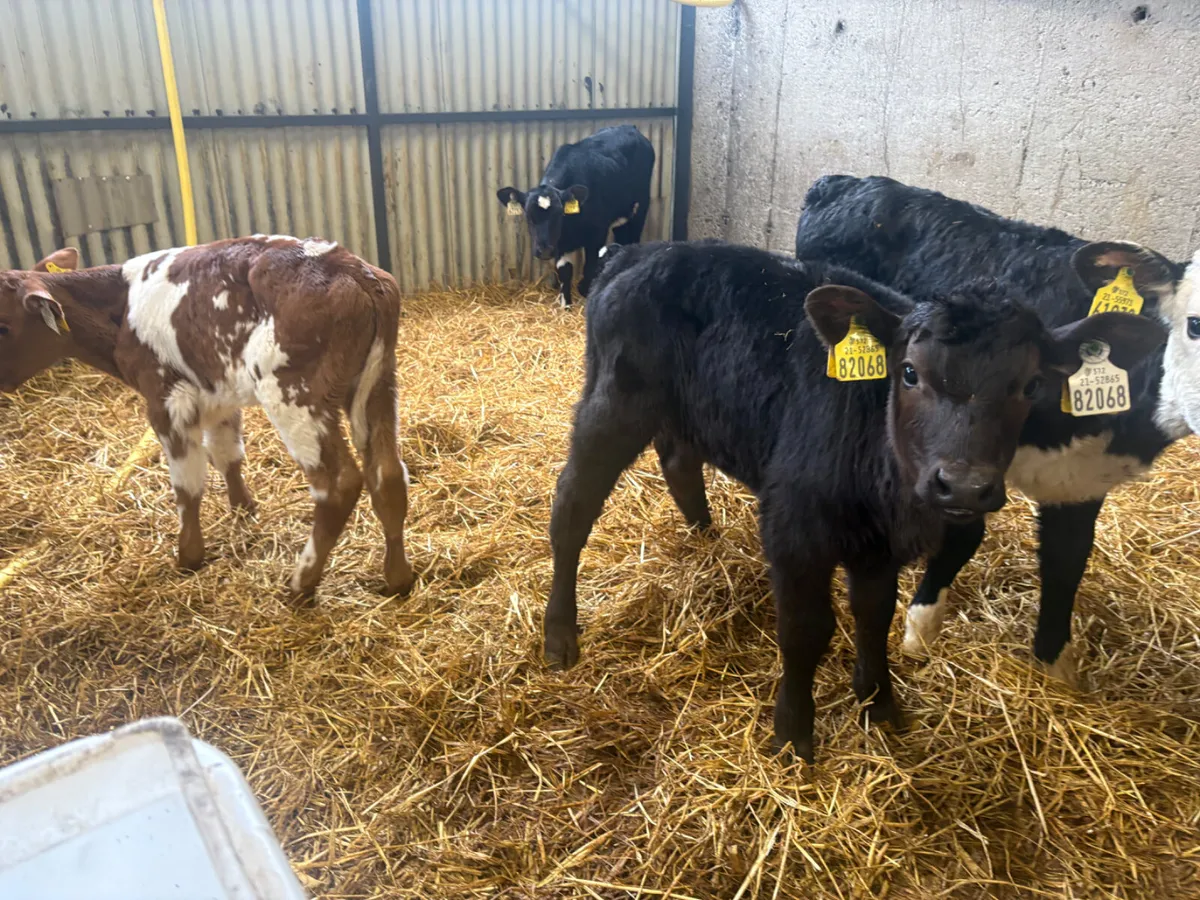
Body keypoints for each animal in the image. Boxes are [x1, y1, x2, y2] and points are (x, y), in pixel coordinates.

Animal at [0, 236, 415, 603]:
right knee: (388, 473)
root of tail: (350, 267)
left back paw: (301, 583)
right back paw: (397, 579)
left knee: (338, 483)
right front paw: (243, 510)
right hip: (378, 384)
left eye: (3, 326)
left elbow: (187, 484)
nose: (1, 382)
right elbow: (226, 454)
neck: (120, 306)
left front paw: (189, 556)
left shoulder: (167, 398)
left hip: (294, 395)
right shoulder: (218, 393)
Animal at [496, 124, 655, 308]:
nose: (544, 250)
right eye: (528, 215)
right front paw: (565, 305)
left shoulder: (597, 233)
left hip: (640, 208)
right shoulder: (558, 242)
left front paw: (586, 291)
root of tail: (629, 127)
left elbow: (590, 267)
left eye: (559, 214)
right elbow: (564, 271)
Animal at [542, 239, 1162, 762]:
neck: (886, 486)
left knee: (677, 458)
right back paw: (560, 633)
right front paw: (794, 731)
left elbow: (875, 614)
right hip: (613, 403)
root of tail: (639, 251)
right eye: (909, 373)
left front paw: (879, 701)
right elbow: (807, 629)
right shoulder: (795, 528)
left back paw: (704, 536)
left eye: (1031, 386)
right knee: (572, 506)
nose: (963, 484)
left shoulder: (879, 545)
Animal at [794, 174, 1194, 685]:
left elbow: (1067, 560)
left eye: (1031, 384)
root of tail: (845, 180)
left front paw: (1055, 663)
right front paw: (921, 628)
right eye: (1194, 324)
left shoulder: (1082, 479)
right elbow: (962, 534)